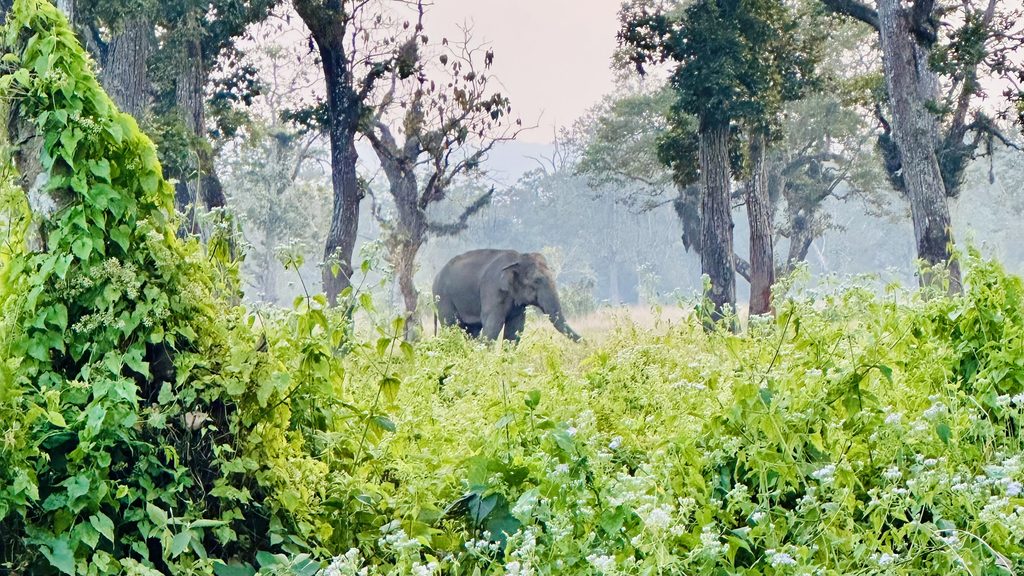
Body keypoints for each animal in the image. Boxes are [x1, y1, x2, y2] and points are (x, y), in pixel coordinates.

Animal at [433, 249, 581, 343]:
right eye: (537, 280)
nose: (586, 342)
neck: (518, 258)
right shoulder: (493, 289)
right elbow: (493, 324)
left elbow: (516, 328)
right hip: (443, 297)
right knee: (450, 325)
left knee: (472, 330)